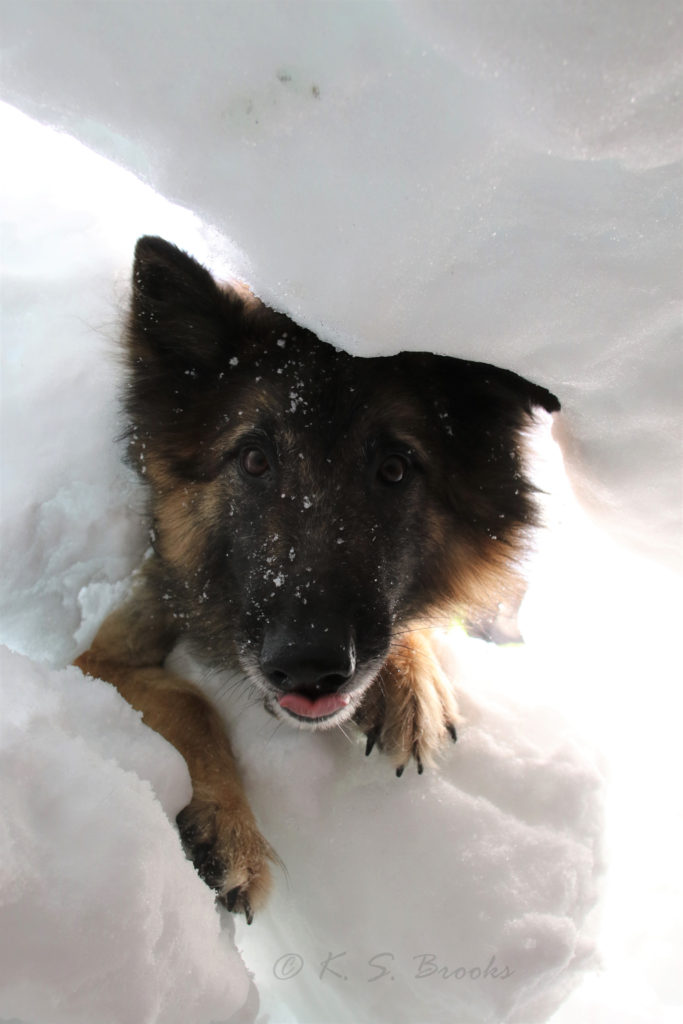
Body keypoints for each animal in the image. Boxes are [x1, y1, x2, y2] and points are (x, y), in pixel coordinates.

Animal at [74, 235, 557, 925]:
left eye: (394, 468)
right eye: (254, 459)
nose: (308, 666)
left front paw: (410, 682)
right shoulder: (104, 654)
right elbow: (191, 703)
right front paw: (227, 829)